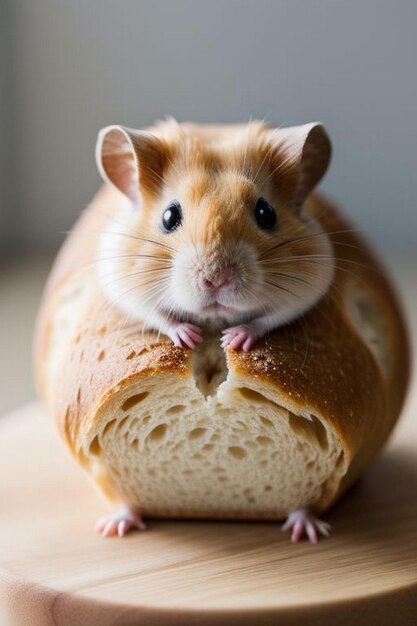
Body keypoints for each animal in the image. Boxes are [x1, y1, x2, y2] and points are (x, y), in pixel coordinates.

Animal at [93, 118, 332, 352]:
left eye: (266, 214)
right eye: (168, 216)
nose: (217, 279)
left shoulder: (305, 293)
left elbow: (268, 319)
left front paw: (231, 340)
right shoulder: (126, 290)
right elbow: (160, 317)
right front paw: (191, 337)